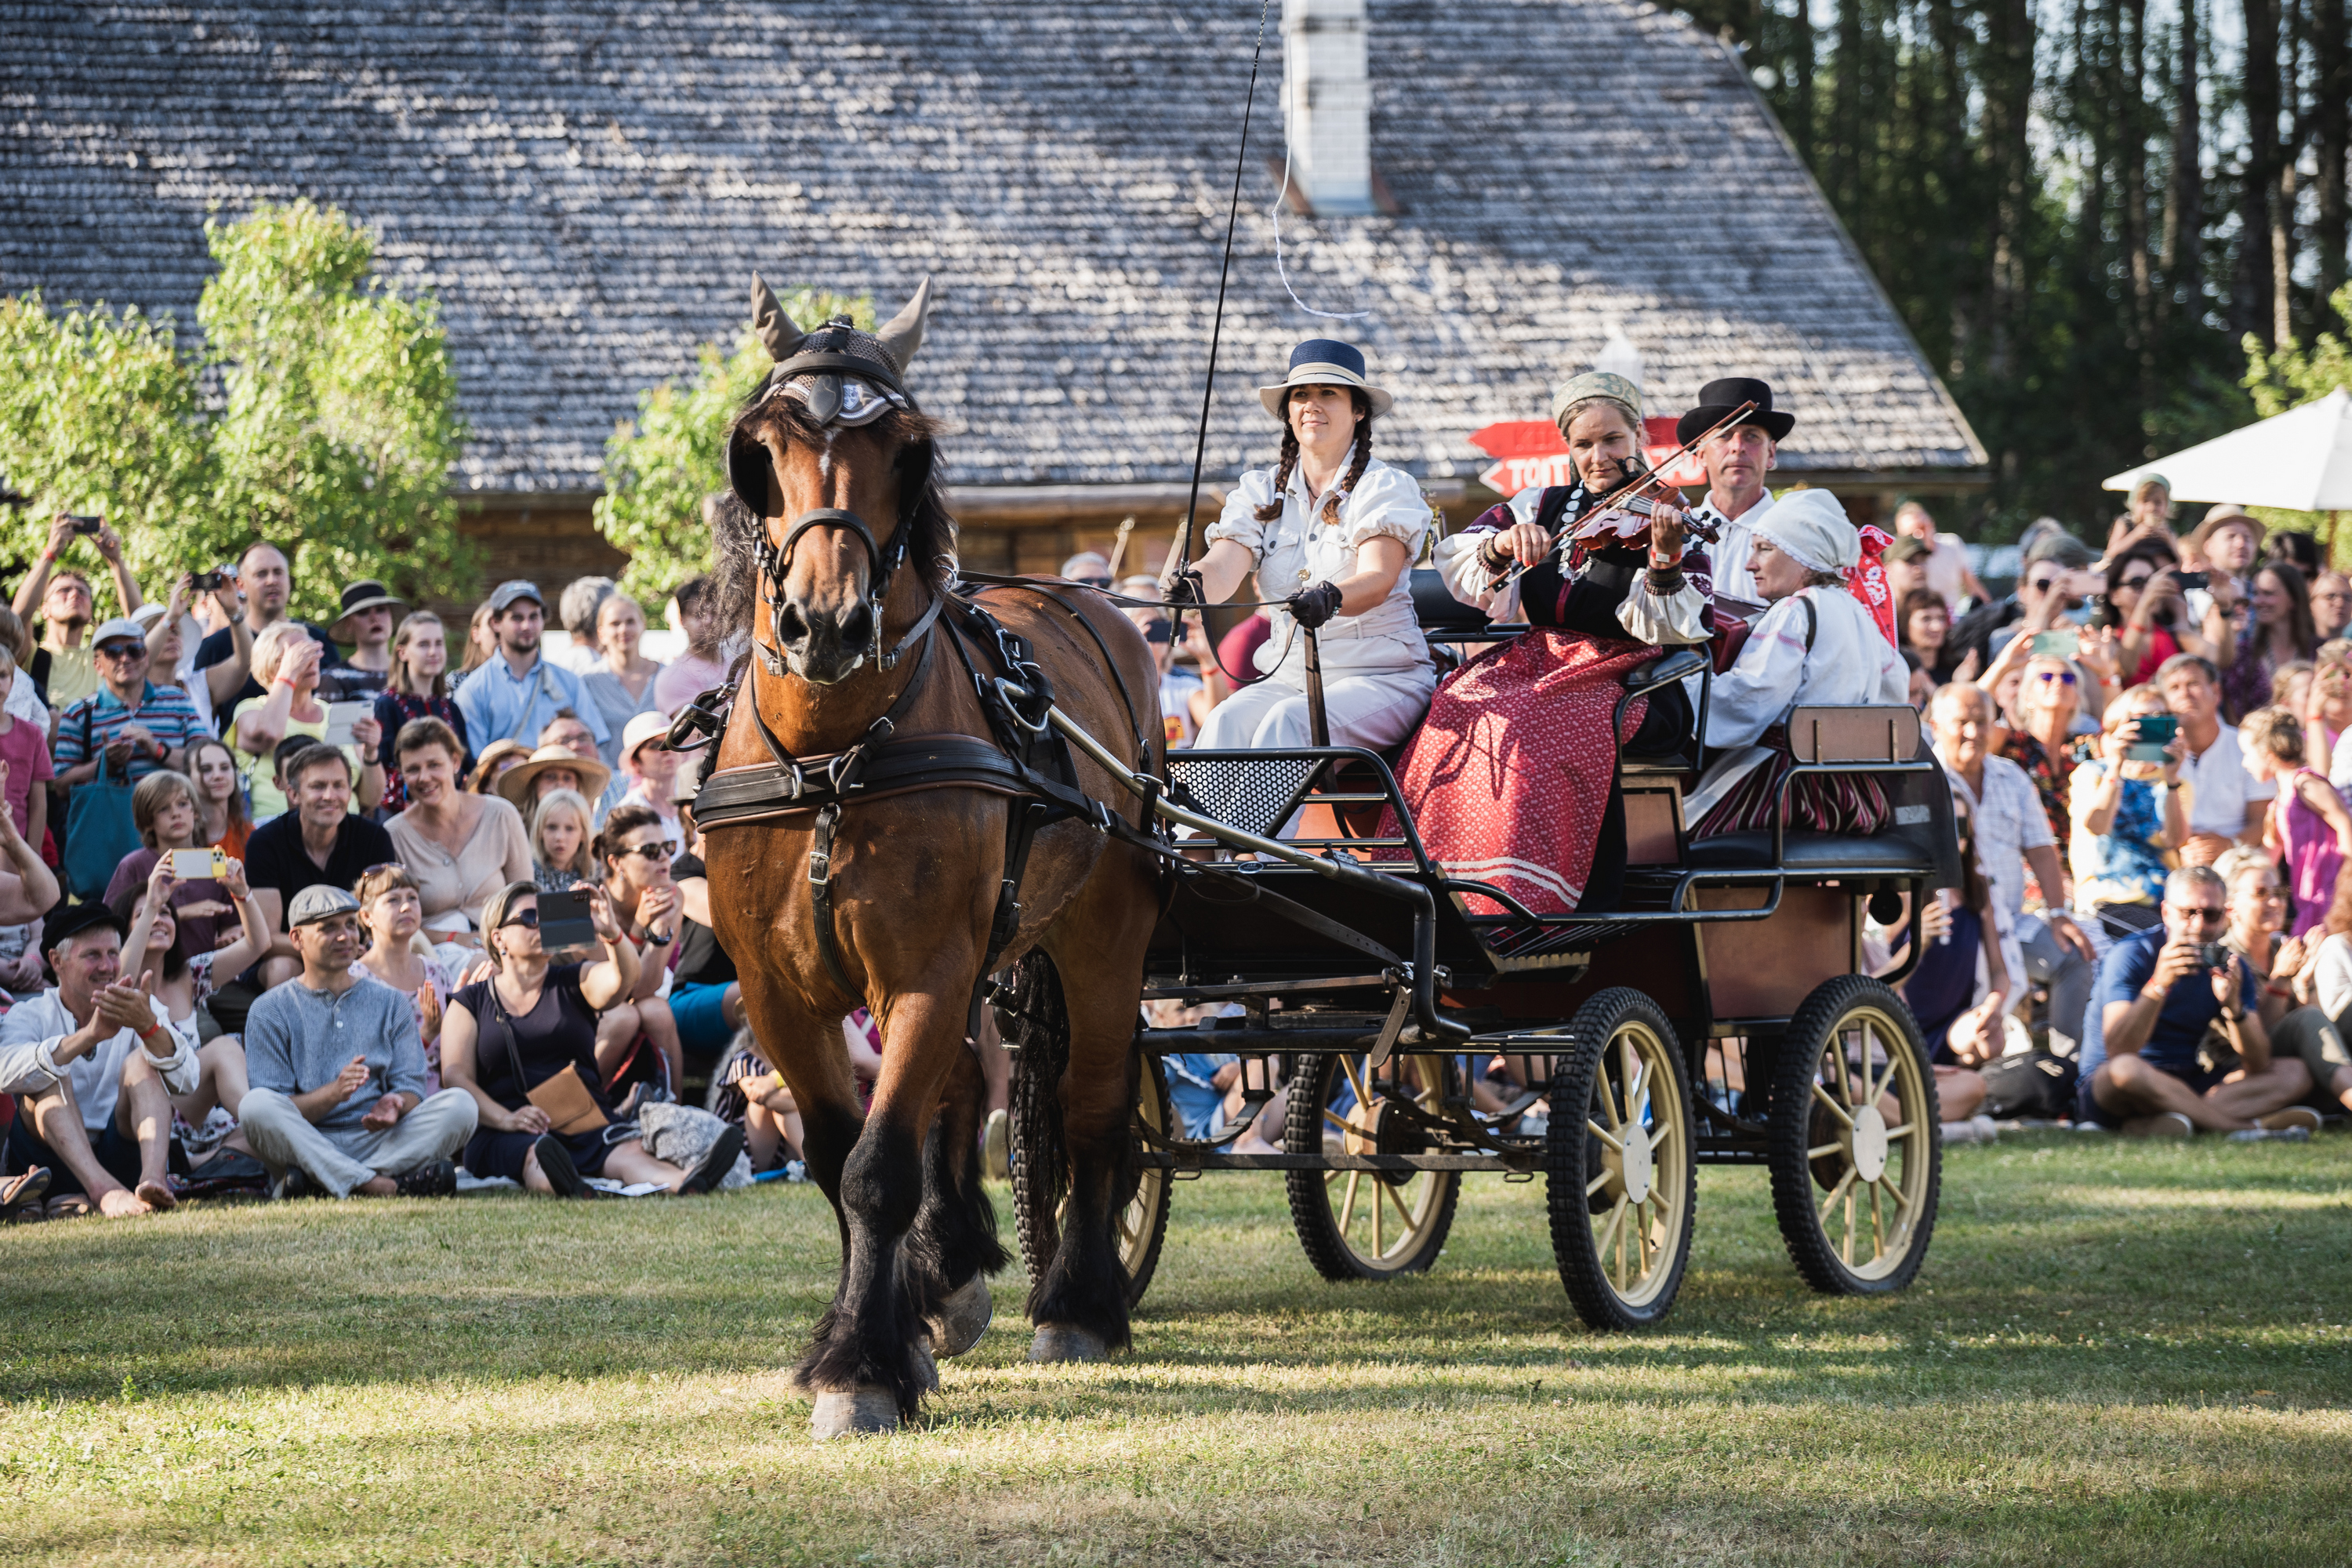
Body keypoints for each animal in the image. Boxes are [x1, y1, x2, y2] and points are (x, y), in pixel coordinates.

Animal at [701, 278, 1171, 1439]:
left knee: (1096, 1105)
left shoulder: (923, 970)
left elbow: (876, 1168)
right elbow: (841, 1154)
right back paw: (949, 1270)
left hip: (1103, 935)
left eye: (906, 451)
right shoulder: (778, 990)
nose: (824, 623)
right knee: (961, 1086)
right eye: (763, 447)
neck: (830, 758)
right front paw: (892, 1324)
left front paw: (861, 1370)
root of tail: (1080, 597)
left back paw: (1078, 1302)